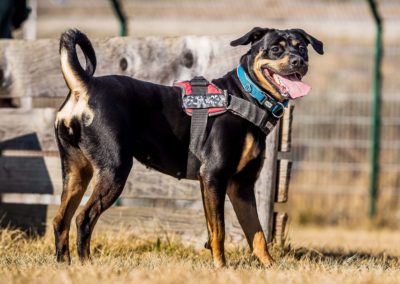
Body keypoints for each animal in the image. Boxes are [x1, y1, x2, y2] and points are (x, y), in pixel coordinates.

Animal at [52, 27, 322, 268]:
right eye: (275, 49)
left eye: (302, 48)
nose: (298, 61)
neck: (247, 97)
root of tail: (84, 85)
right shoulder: (214, 176)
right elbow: (219, 231)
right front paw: (221, 267)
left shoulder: (241, 186)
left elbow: (256, 233)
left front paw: (270, 267)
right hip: (114, 170)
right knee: (84, 218)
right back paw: (87, 264)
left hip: (75, 171)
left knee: (60, 220)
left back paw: (64, 263)